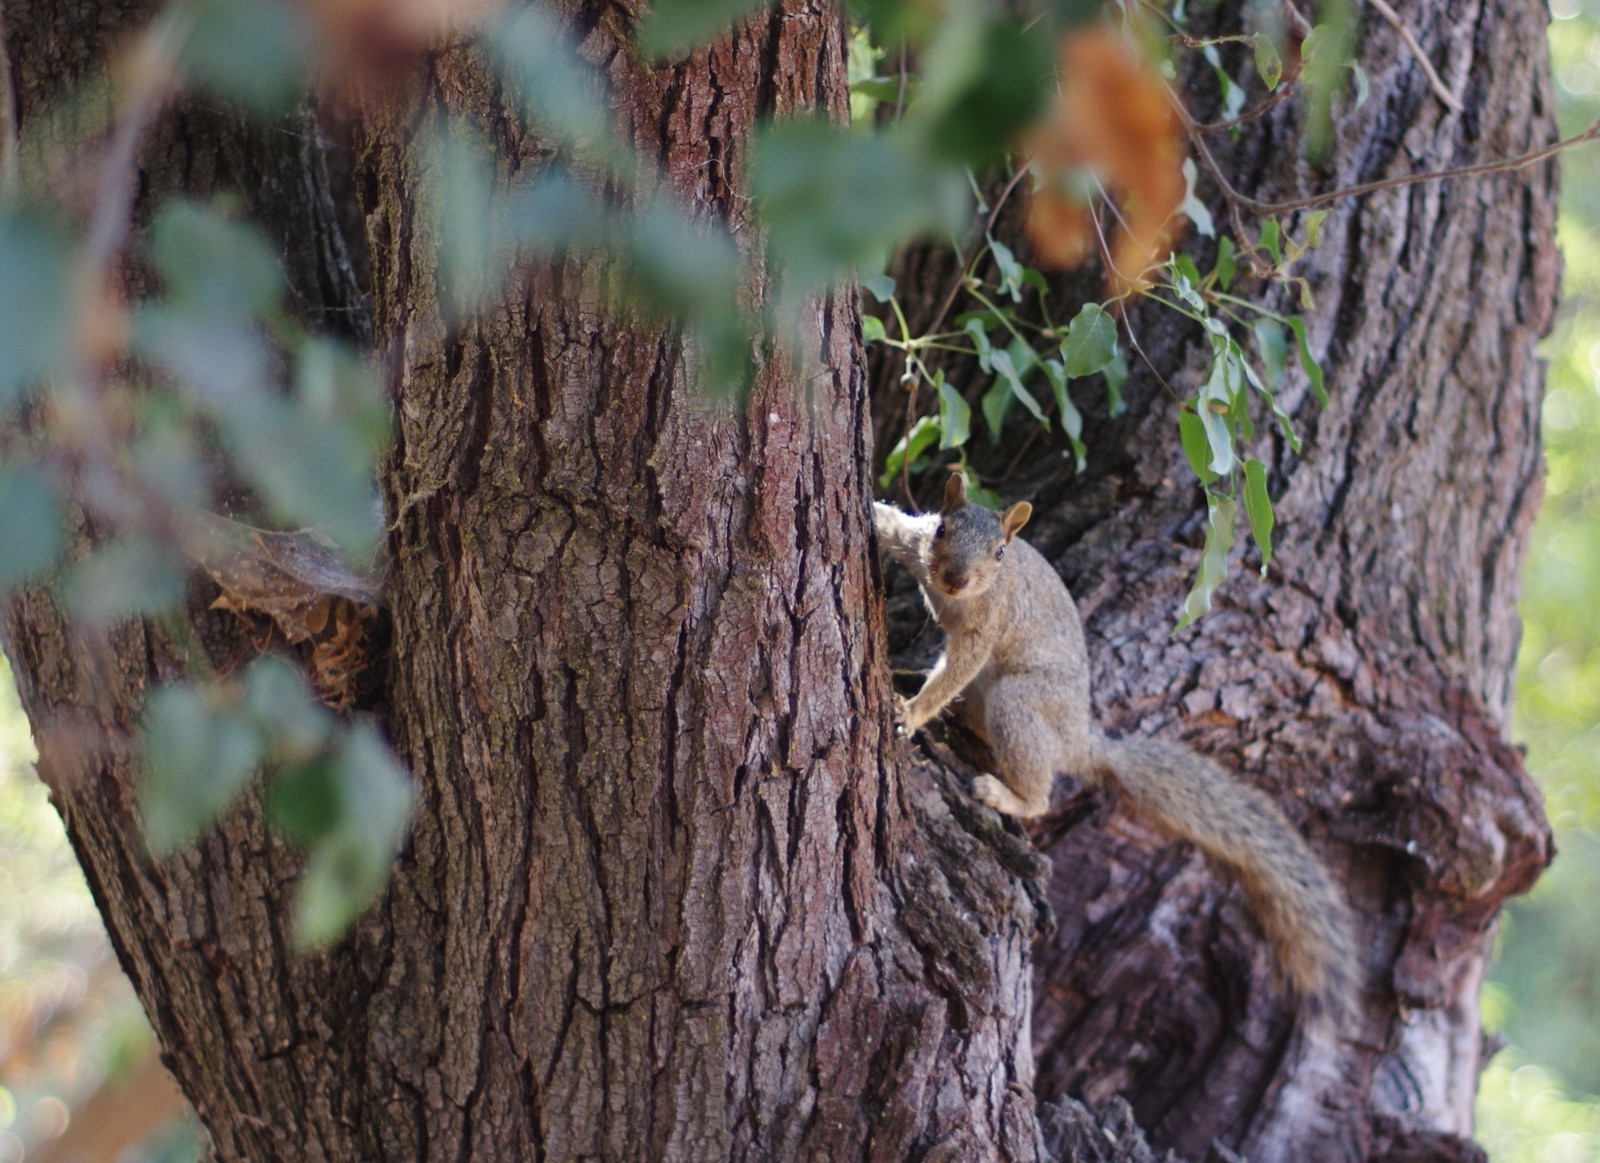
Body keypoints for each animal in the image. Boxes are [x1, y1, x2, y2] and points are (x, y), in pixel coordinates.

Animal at [874, 469, 1355, 1016]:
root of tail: (1082, 740)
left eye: (999, 552)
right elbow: (889, 525)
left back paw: (1005, 793)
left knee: (1037, 791)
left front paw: (913, 713)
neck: (960, 597)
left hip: (1020, 703)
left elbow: (957, 668)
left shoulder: (989, 623)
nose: (954, 579)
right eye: (941, 529)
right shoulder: (913, 544)